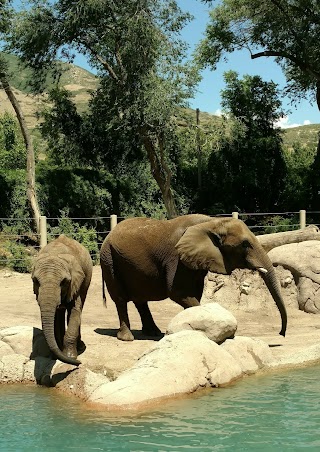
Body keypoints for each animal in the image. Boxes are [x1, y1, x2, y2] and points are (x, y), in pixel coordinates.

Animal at [31, 235, 92, 366]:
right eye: (35, 281)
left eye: (64, 282)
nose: (79, 363)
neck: (54, 253)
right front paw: (58, 356)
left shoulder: (75, 282)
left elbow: (75, 310)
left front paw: (71, 357)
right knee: (59, 313)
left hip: (87, 281)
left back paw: (79, 347)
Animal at [100, 214, 288, 340]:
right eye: (245, 244)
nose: (281, 334)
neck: (213, 222)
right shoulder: (176, 257)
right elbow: (178, 292)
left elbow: (195, 292)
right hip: (108, 259)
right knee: (120, 299)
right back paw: (127, 338)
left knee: (140, 300)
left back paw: (153, 333)